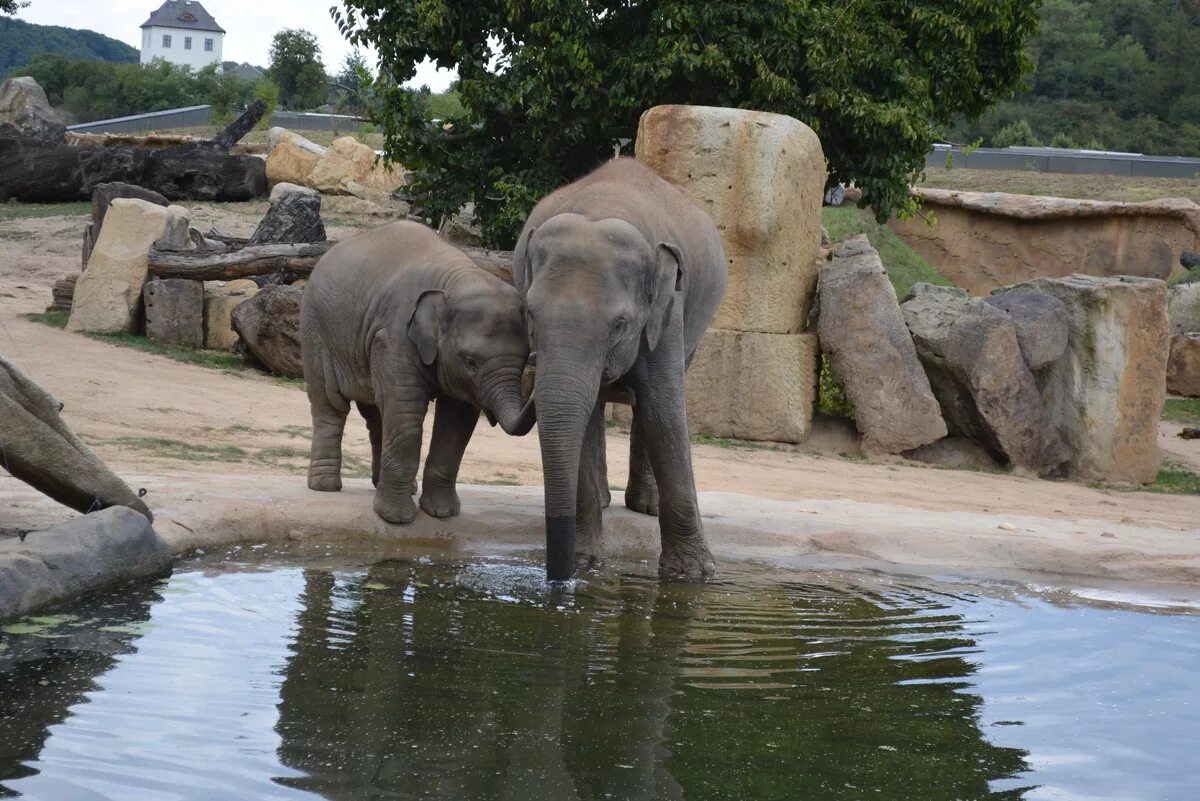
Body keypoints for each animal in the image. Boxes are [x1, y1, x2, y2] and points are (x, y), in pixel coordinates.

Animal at [300, 224, 535, 525]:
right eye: (471, 362)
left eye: (525, 359)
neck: (456, 278)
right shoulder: (394, 337)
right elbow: (407, 411)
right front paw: (395, 519)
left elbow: (456, 422)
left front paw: (441, 513)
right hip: (315, 330)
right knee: (330, 405)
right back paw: (325, 486)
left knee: (377, 413)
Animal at [511, 158, 724, 582]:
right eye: (530, 314)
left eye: (619, 325)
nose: (558, 576)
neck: (604, 208)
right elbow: (582, 416)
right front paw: (583, 563)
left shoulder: (667, 310)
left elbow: (664, 412)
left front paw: (693, 575)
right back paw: (608, 501)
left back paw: (646, 507)